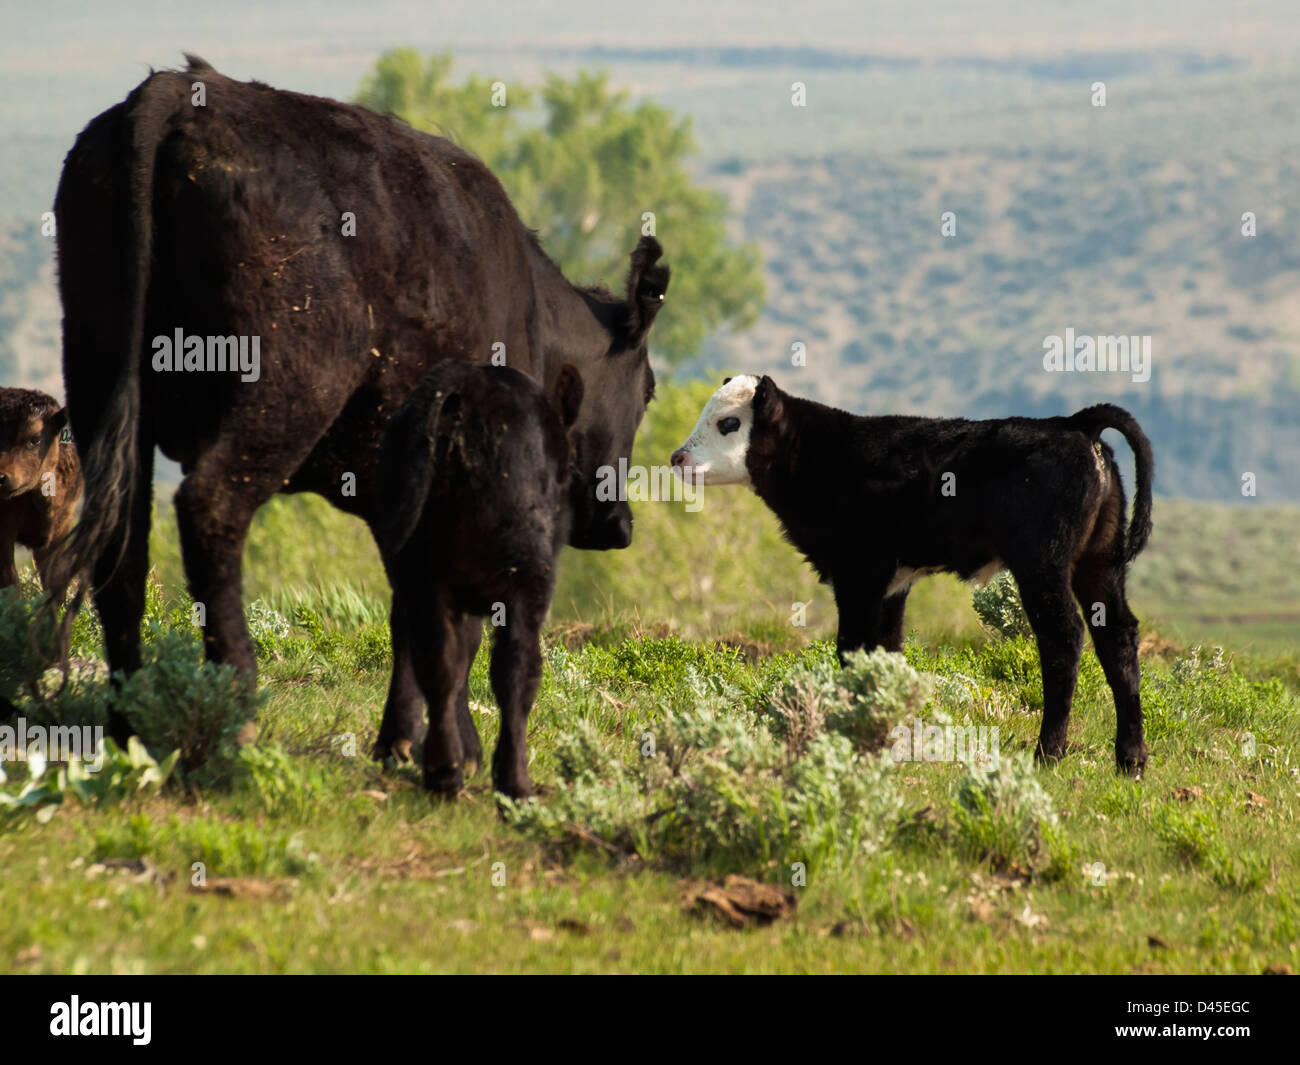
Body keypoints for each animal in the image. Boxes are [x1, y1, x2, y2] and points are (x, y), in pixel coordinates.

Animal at [378, 361, 583, 799]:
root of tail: (462, 383)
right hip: (525, 579)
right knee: (516, 670)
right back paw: (514, 782)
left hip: (418, 574)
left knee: (437, 661)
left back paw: (443, 772)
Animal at [672, 375, 1155, 774]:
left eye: (728, 423)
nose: (677, 457)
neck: (821, 456)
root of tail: (1073, 424)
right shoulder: (892, 583)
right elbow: (886, 651)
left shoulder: (859, 573)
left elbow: (853, 648)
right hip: (1100, 562)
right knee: (1118, 638)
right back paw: (1130, 761)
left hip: (1043, 564)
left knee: (1064, 639)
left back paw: (1048, 754)